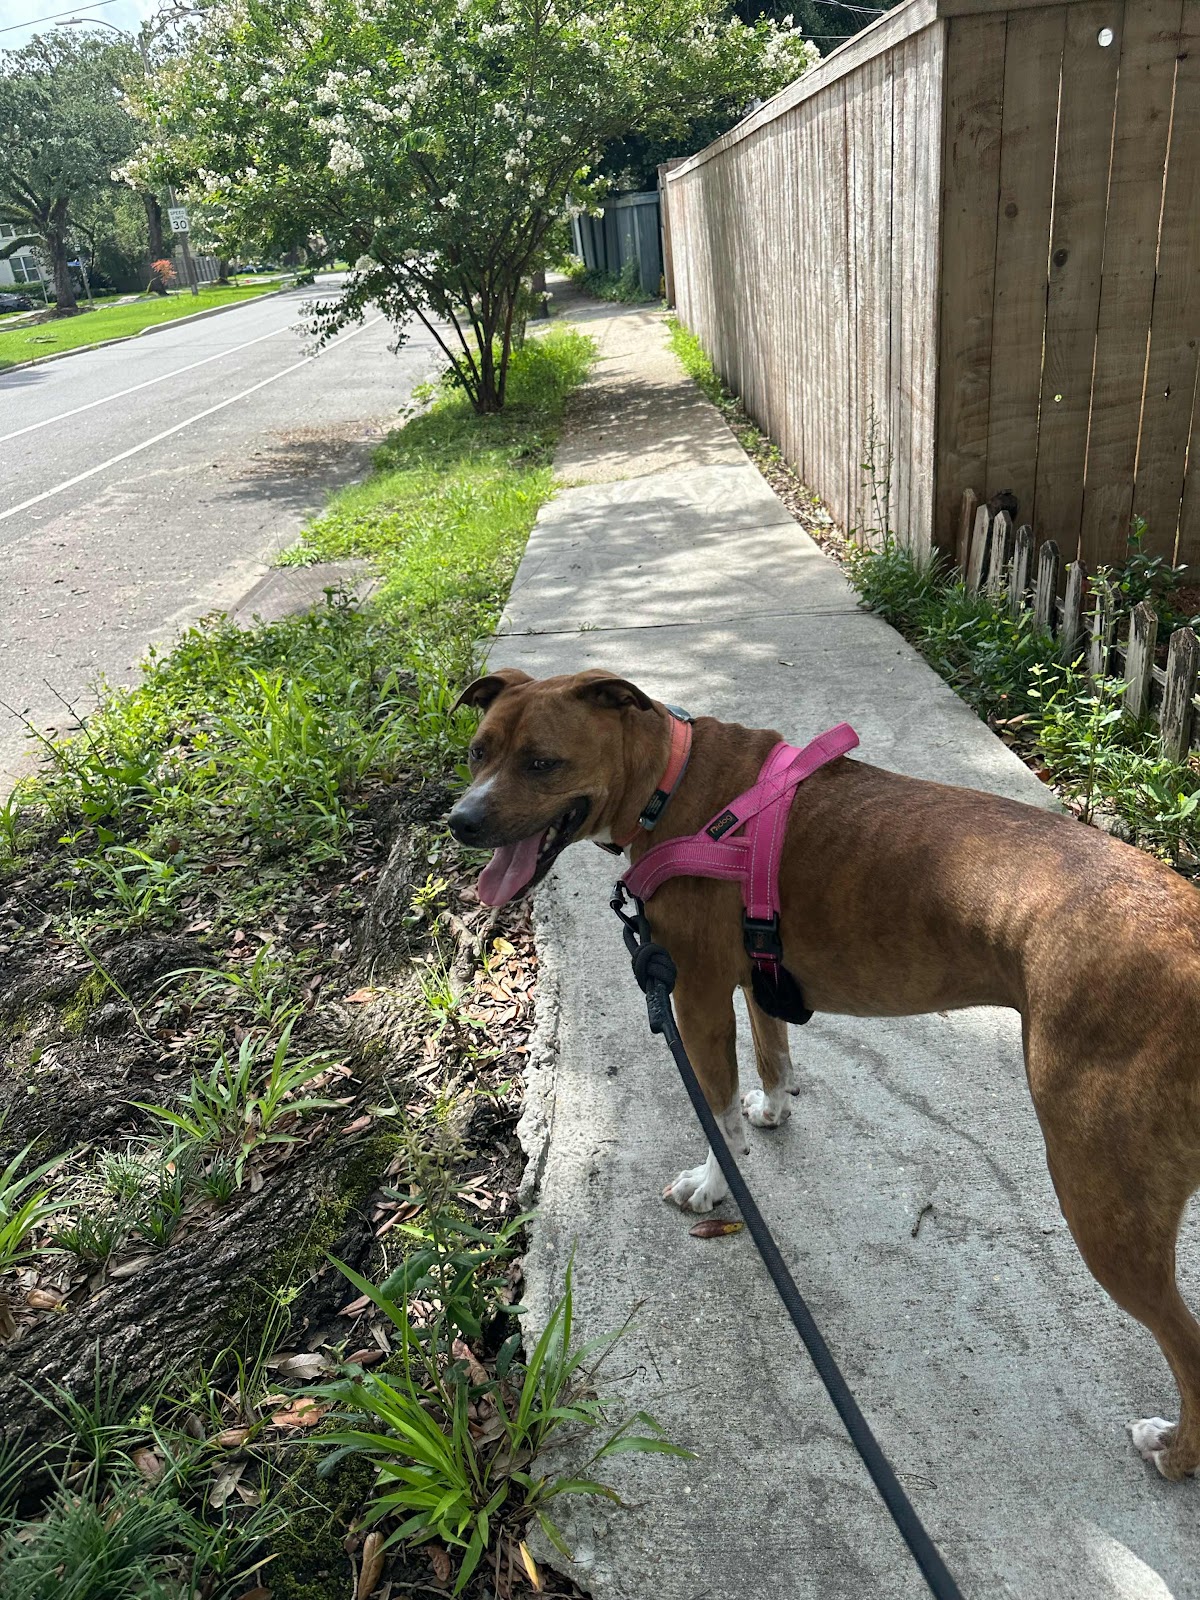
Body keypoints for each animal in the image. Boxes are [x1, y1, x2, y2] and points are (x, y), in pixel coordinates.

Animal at [446, 665, 1200, 1481]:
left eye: (541, 763)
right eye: (477, 751)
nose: (460, 821)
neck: (672, 783)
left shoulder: (696, 993)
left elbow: (714, 1103)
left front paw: (715, 1182)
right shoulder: (757, 978)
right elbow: (773, 1054)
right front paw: (773, 1110)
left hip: (1105, 1195)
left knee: (1188, 1347)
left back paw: (1174, 1453)